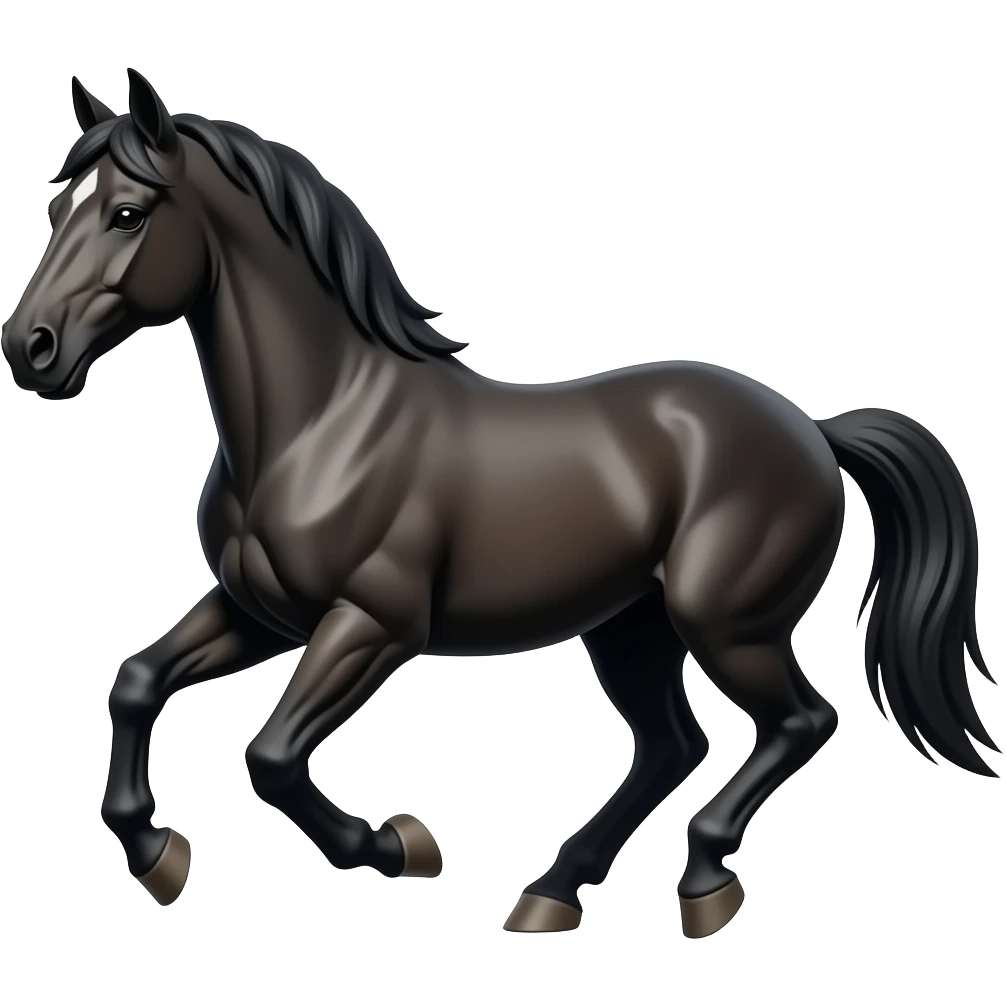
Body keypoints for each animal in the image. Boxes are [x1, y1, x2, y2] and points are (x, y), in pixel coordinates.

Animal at [2, 70, 996, 938]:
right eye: (56, 209)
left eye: (128, 213)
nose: (30, 349)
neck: (323, 423)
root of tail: (813, 431)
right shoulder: (265, 614)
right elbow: (137, 683)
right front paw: (156, 854)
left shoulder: (373, 625)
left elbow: (272, 756)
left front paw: (398, 846)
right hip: (631, 627)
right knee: (672, 745)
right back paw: (554, 896)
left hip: (727, 625)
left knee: (798, 723)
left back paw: (703, 885)